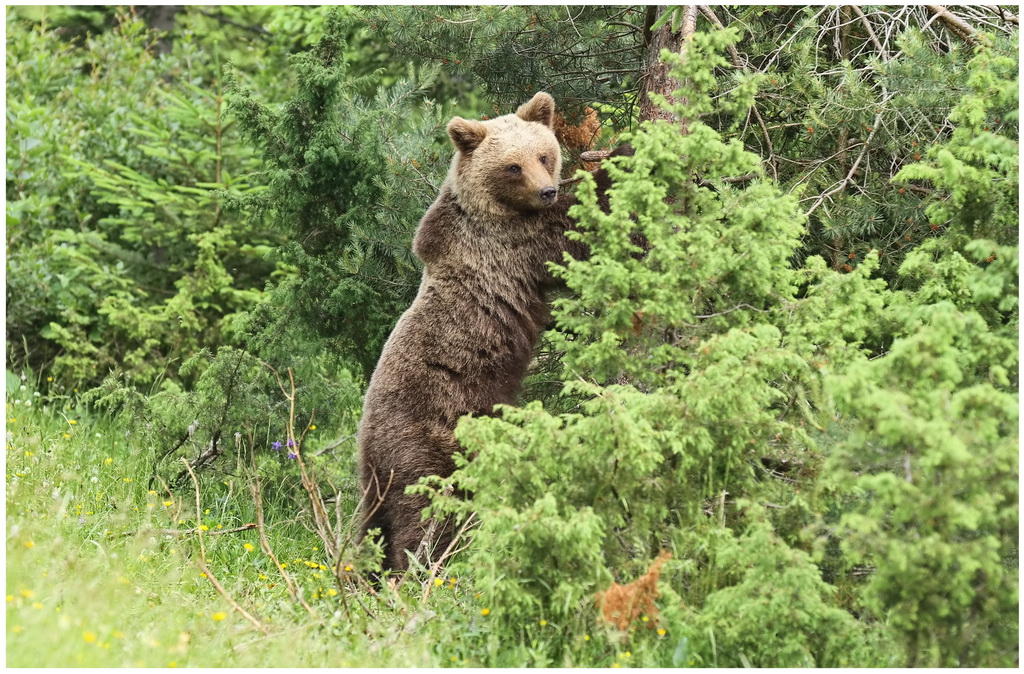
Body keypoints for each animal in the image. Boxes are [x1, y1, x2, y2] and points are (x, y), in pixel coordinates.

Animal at [356, 90, 606, 573]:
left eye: (543, 154)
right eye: (512, 166)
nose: (547, 190)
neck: (495, 211)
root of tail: (371, 445)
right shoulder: (511, 243)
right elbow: (574, 231)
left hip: (374, 480)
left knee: (370, 528)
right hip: (428, 442)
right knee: (427, 515)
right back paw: (423, 568)